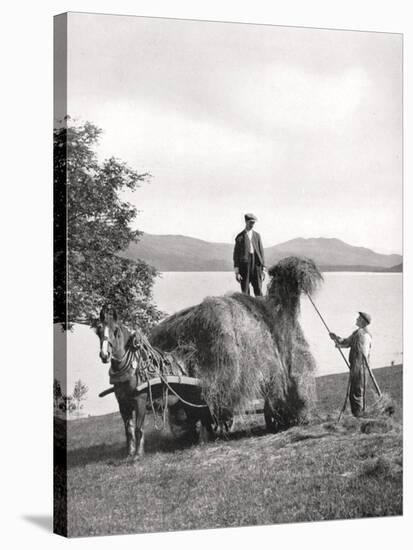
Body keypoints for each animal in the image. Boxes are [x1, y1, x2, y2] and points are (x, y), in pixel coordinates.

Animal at [95, 308, 214, 460]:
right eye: (98, 330)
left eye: (116, 331)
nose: (105, 355)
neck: (131, 369)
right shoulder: (123, 403)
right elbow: (128, 430)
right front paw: (129, 453)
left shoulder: (140, 400)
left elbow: (139, 428)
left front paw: (138, 455)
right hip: (184, 400)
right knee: (194, 416)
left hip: (197, 396)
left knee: (203, 413)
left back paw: (203, 440)